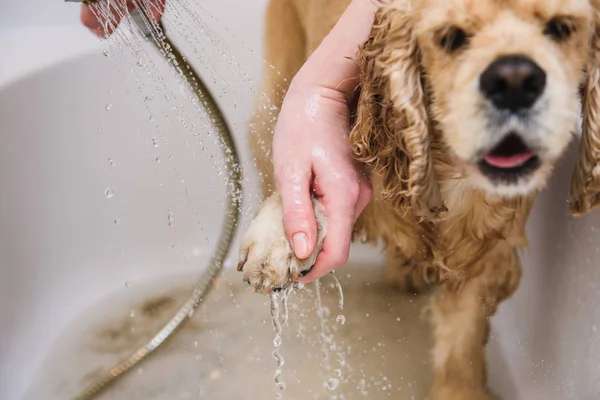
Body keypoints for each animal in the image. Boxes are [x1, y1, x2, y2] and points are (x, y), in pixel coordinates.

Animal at [237, 0, 600, 398]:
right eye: (451, 37)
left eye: (561, 28)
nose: (515, 81)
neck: (449, 176)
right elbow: (312, 169)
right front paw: (278, 243)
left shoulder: (485, 254)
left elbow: (462, 342)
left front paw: (458, 389)